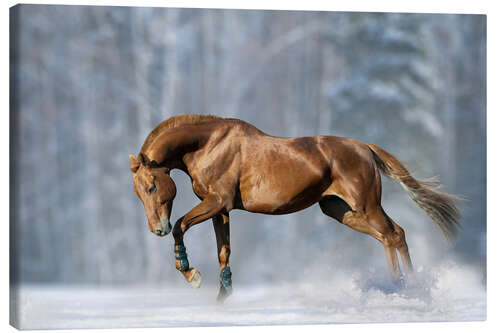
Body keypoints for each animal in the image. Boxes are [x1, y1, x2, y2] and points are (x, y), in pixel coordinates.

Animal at [130, 113, 460, 302]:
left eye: (152, 187)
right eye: (138, 193)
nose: (156, 229)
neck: (207, 144)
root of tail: (365, 147)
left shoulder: (216, 202)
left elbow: (181, 225)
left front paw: (192, 274)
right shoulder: (221, 209)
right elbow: (224, 251)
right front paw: (223, 297)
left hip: (365, 205)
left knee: (394, 235)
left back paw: (409, 289)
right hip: (342, 211)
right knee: (390, 236)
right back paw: (401, 286)